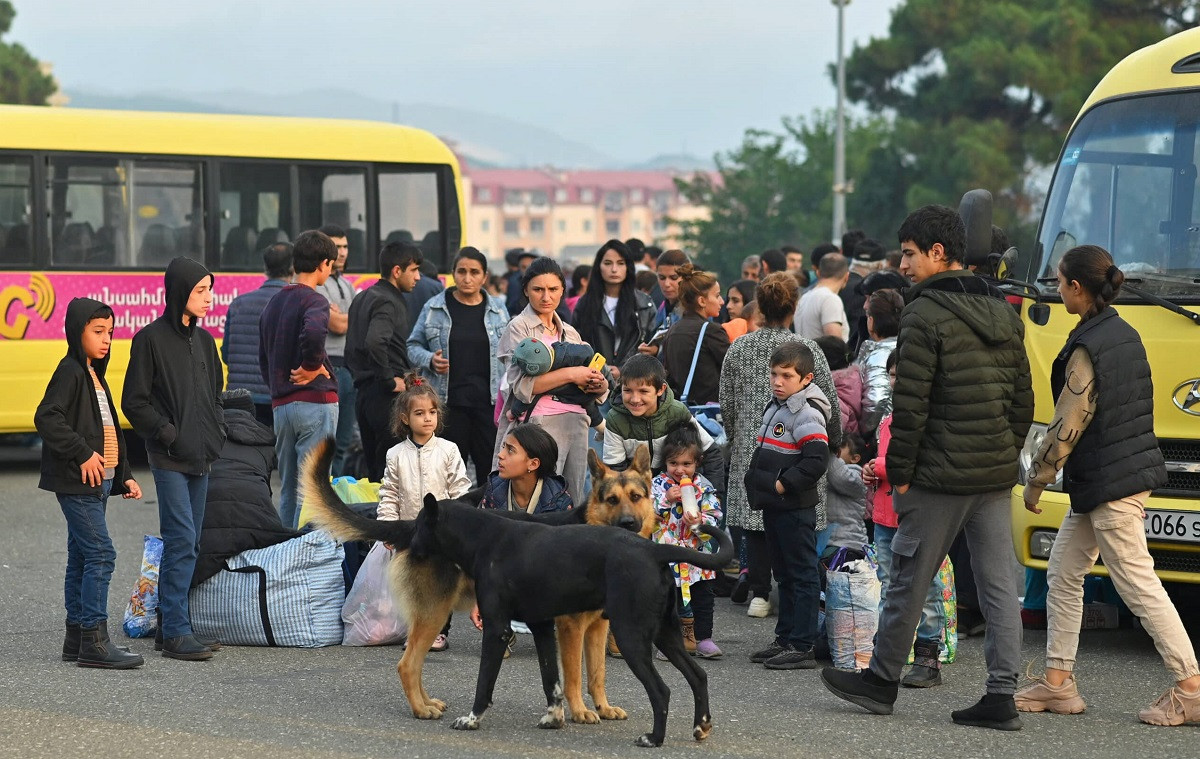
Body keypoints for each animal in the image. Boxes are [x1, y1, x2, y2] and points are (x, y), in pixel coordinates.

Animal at [302, 441, 729, 744]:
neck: (483, 534)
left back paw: (657, 737)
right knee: (409, 663)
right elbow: (565, 679)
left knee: (668, 687)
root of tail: (653, 550)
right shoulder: (559, 628)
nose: (629, 522)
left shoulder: (541, 628)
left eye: (637, 497)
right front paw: (570, 713)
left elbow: (573, 677)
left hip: (638, 635)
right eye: (611, 499)